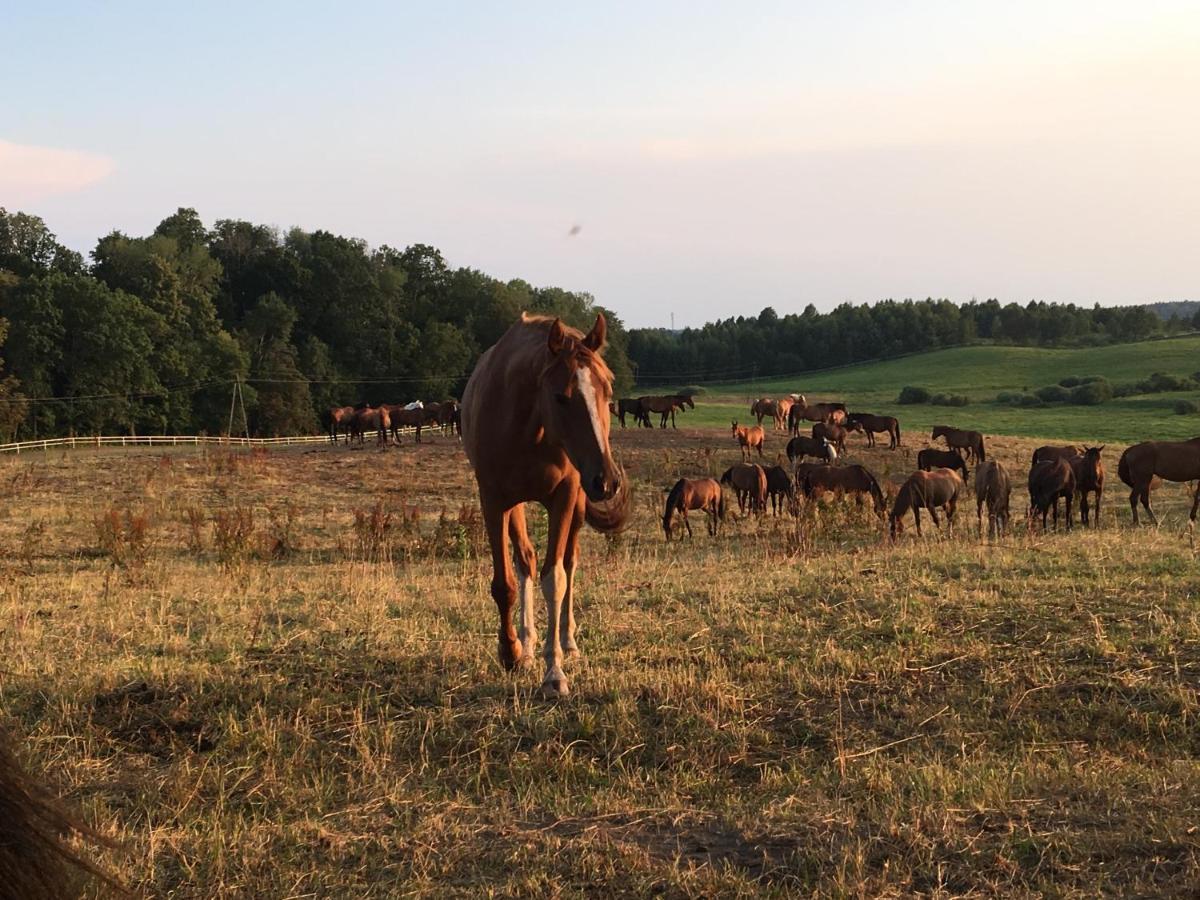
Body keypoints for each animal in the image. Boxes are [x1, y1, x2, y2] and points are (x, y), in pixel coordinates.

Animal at [458, 314, 628, 700]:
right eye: (560, 397)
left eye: (608, 391)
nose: (607, 480)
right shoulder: (494, 500)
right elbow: (505, 582)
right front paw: (511, 651)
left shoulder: (563, 497)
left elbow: (556, 579)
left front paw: (554, 672)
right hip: (517, 505)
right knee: (526, 561)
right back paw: (526, 643)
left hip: (577, 504)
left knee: (569, 561)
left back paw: (568, 640)